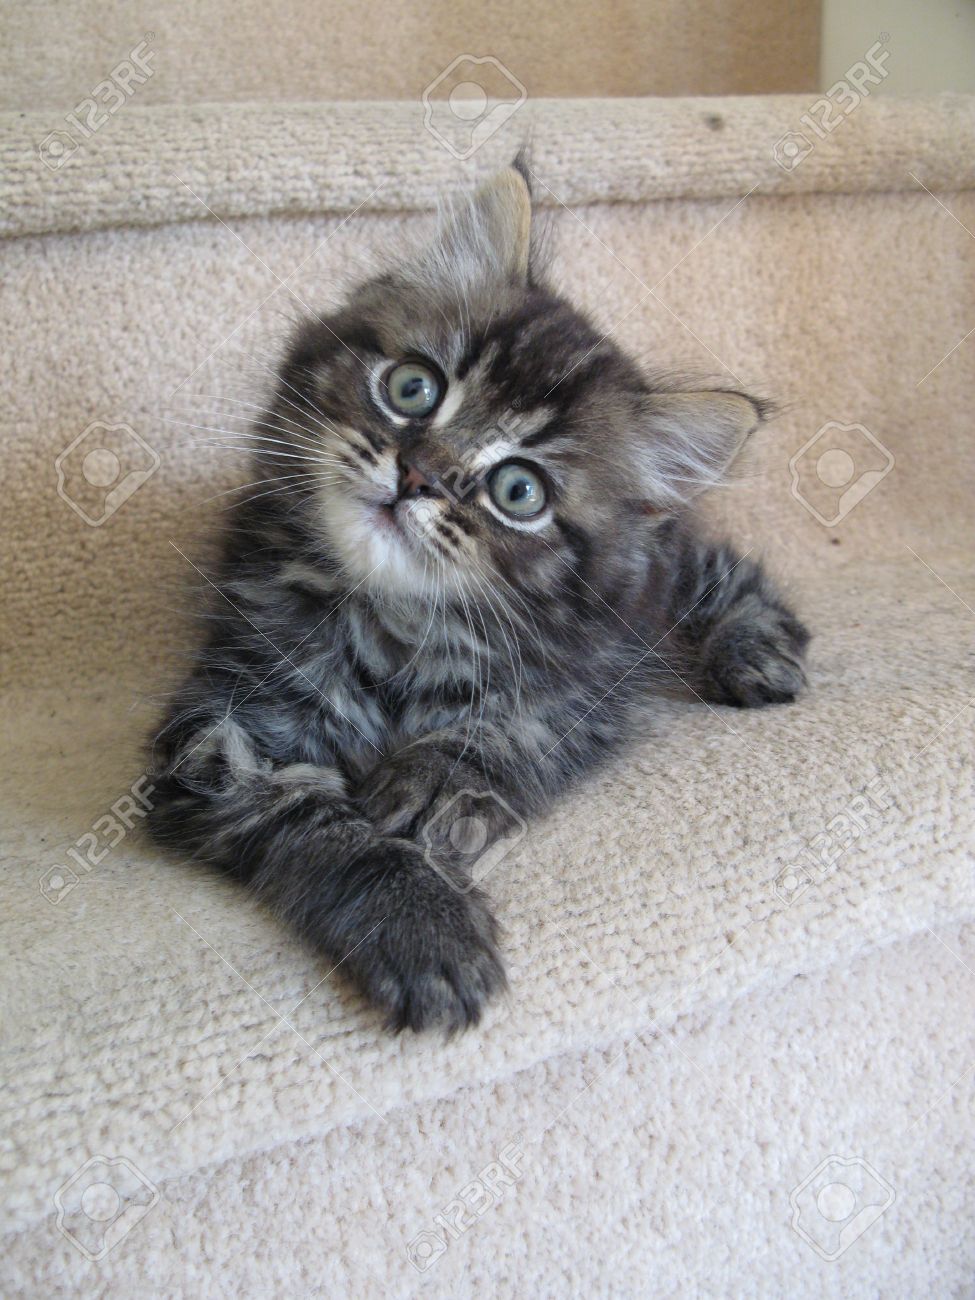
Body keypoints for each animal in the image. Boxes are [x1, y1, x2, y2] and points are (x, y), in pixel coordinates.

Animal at [150, 162, 811, 1034]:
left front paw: (431, 779)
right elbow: (314, 822)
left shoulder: (576, 692)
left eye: (518, 491)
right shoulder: (222, 729)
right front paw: (417, 921)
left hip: (659, 581)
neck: (396, 625)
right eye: (412, 387)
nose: (417, 475)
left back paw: (755, 647)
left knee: (718, 569)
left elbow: (498, 732)